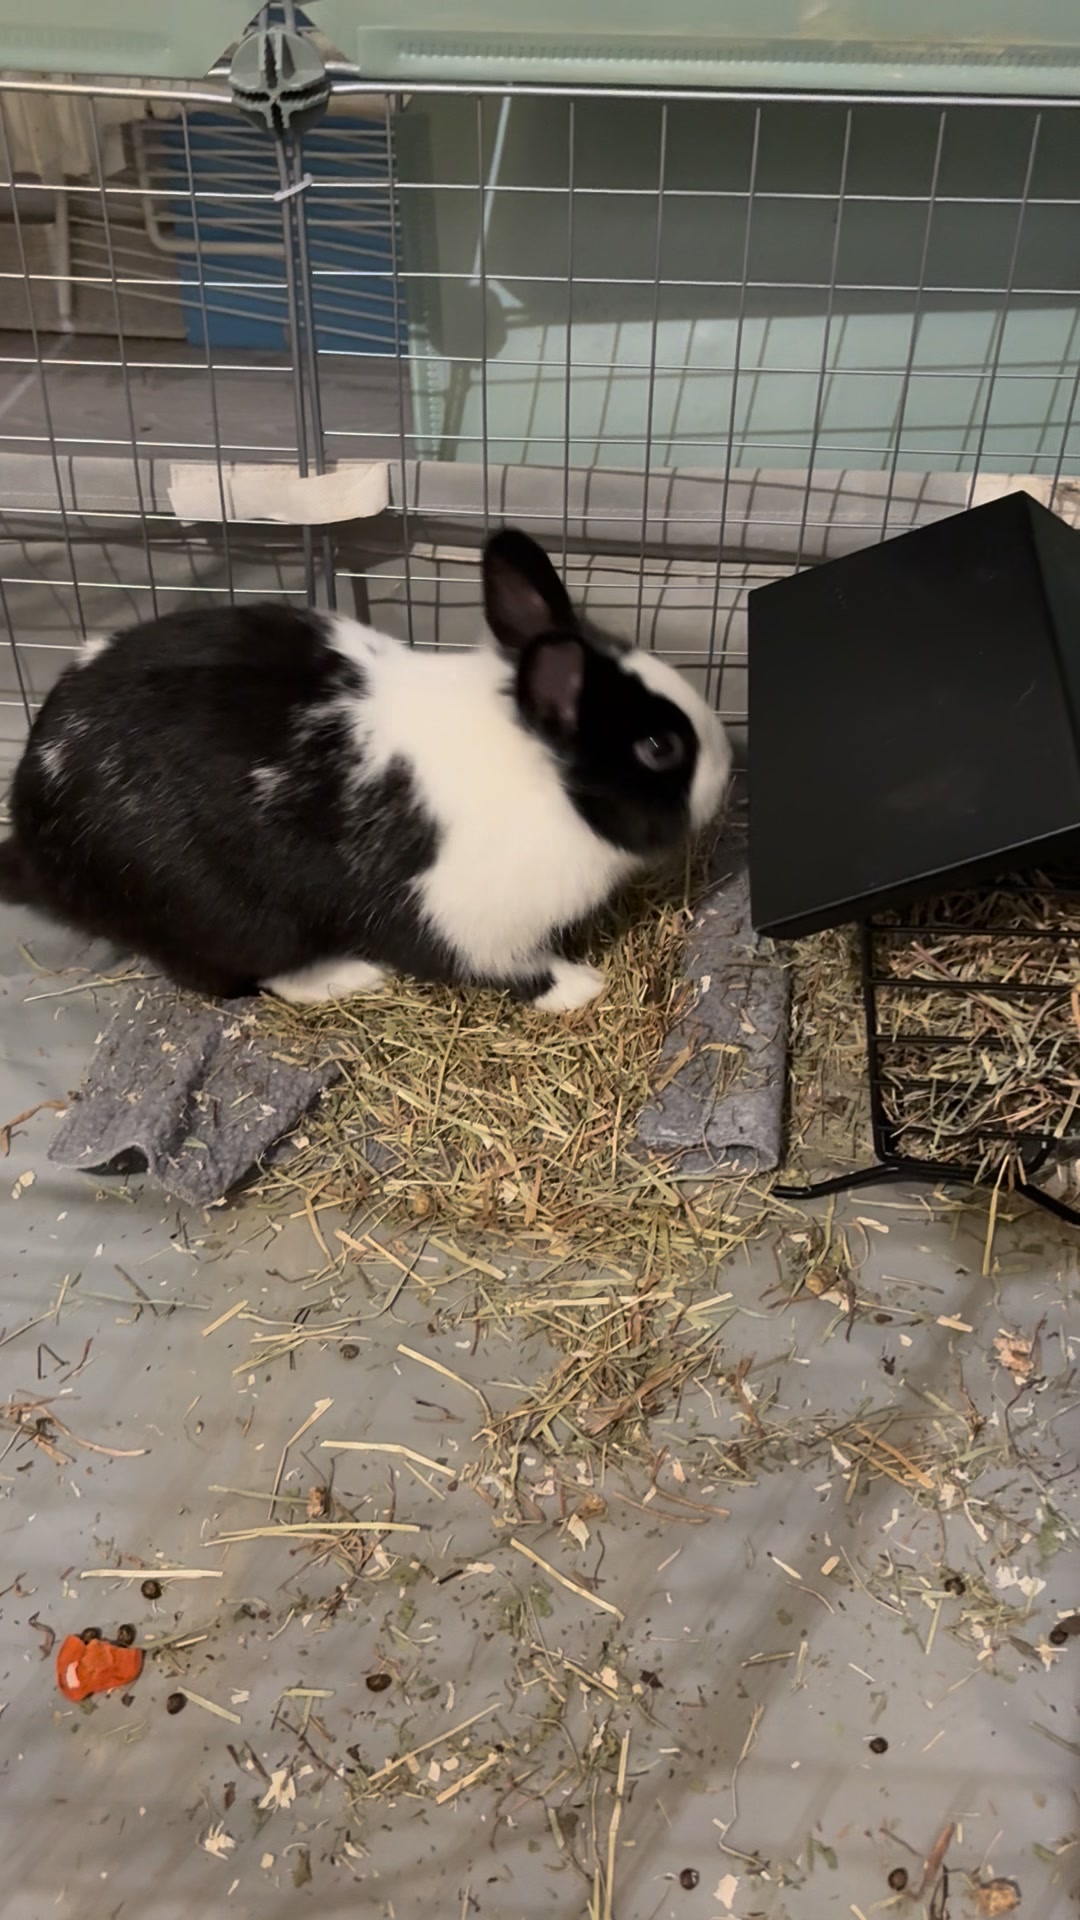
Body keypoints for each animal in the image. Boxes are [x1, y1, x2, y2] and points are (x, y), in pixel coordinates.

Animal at [0, 528, 731, 1011]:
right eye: (659, 747)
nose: (728, 770)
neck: (544, 778)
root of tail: (31, 835)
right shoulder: (465, 920)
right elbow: (512, 970)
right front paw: (582, 986)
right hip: (232, 919)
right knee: (247, 976)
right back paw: (347, 976)